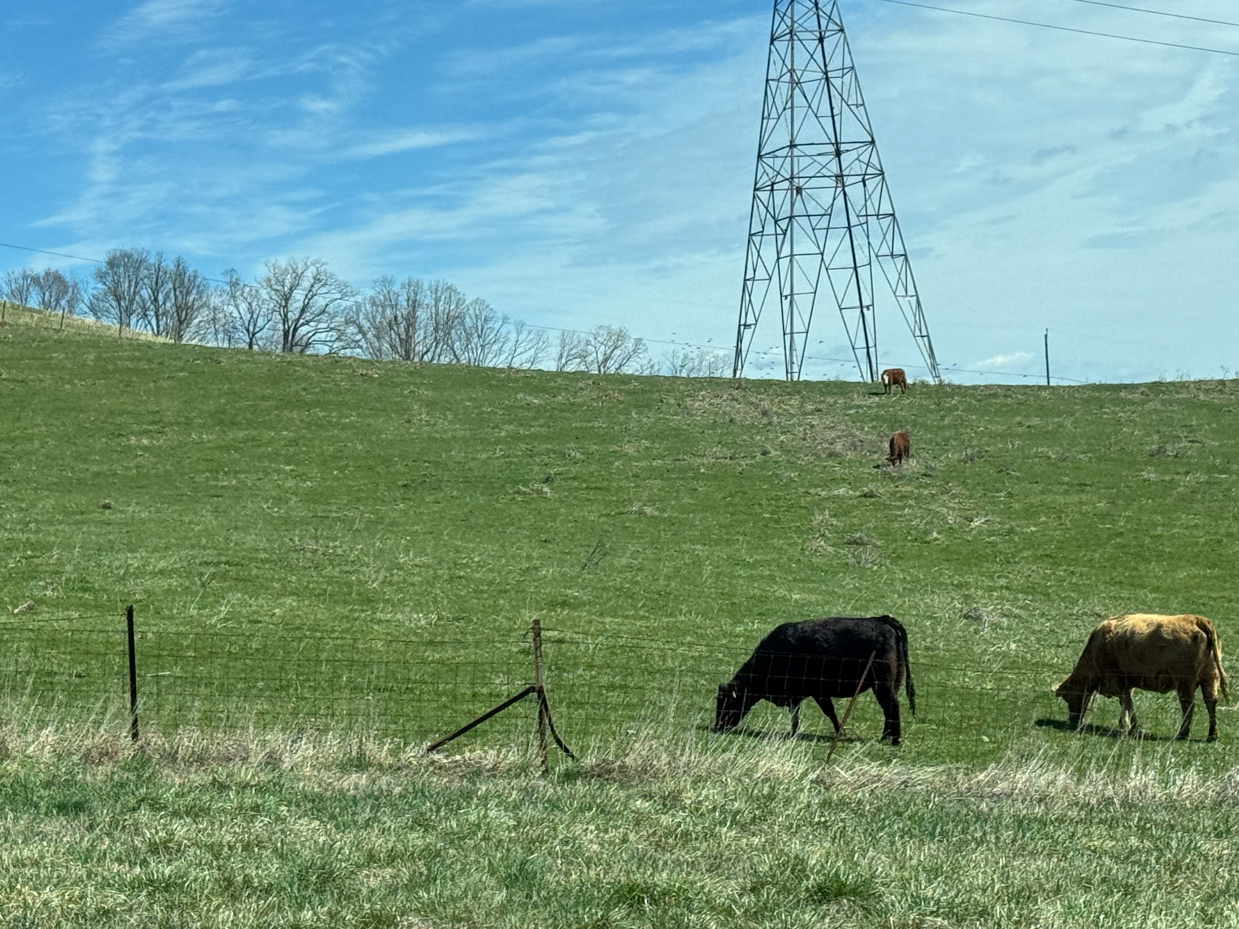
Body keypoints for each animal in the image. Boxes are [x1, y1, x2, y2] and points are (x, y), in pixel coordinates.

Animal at [713, 619, 916, 748]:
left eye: (727, 702)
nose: (717, 727)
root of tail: (882, 620)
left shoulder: (818, 691)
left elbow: (829, 712)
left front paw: (840, 733)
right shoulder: (797, 694)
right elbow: (795, 714)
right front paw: (793, 732)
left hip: (882, 684)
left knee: (891, 706)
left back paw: (895, 739)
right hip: (890, 684)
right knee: (888, 709)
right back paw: (886, 736)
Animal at [1055, 614, 1229, 748]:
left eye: (1067, 697)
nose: (1072, 722)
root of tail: (1196, 619)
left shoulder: (1117, 680)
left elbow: (1125, 703)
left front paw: (1128, 727)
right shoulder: (1126, 683)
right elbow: (1127, 703)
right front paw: (1129, 727)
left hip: (1184, 682)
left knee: (1189, 705)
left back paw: (1182, 734)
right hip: (1210, 678)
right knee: (1211, 702)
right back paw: (1212, 735)